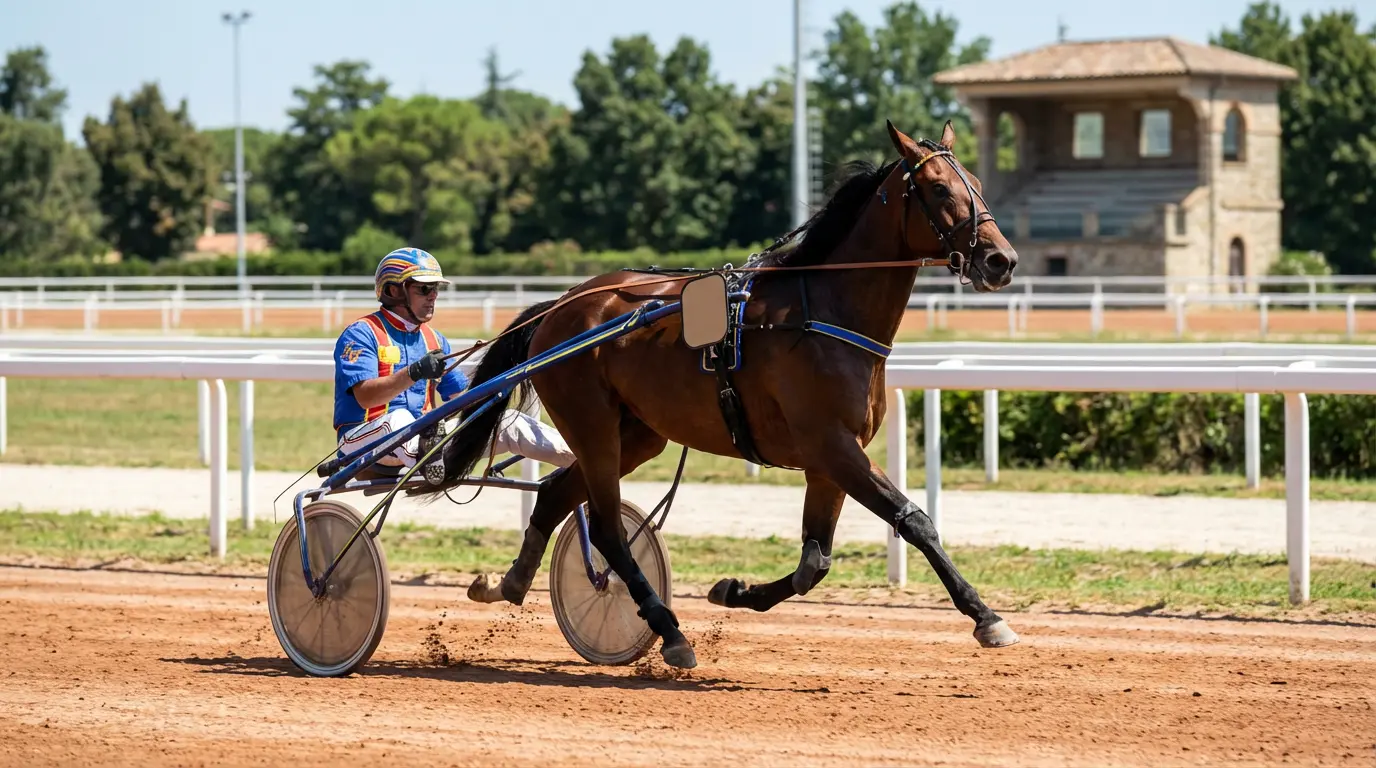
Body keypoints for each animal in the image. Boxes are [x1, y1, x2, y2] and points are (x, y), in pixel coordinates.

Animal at [435, 119, 1020, 670]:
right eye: (940, 188)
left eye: (978, 184)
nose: (1002, 261)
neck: (824, 313)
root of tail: (562, 306)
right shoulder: (832, 444)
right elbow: (914, 521)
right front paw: (986, 617)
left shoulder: (828, 459)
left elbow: (814, 563)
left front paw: (734, 590)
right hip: (592, 424)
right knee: (607, 528)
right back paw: (669, 632)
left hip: (637, 433)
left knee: (559, 496)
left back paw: (508, 583)